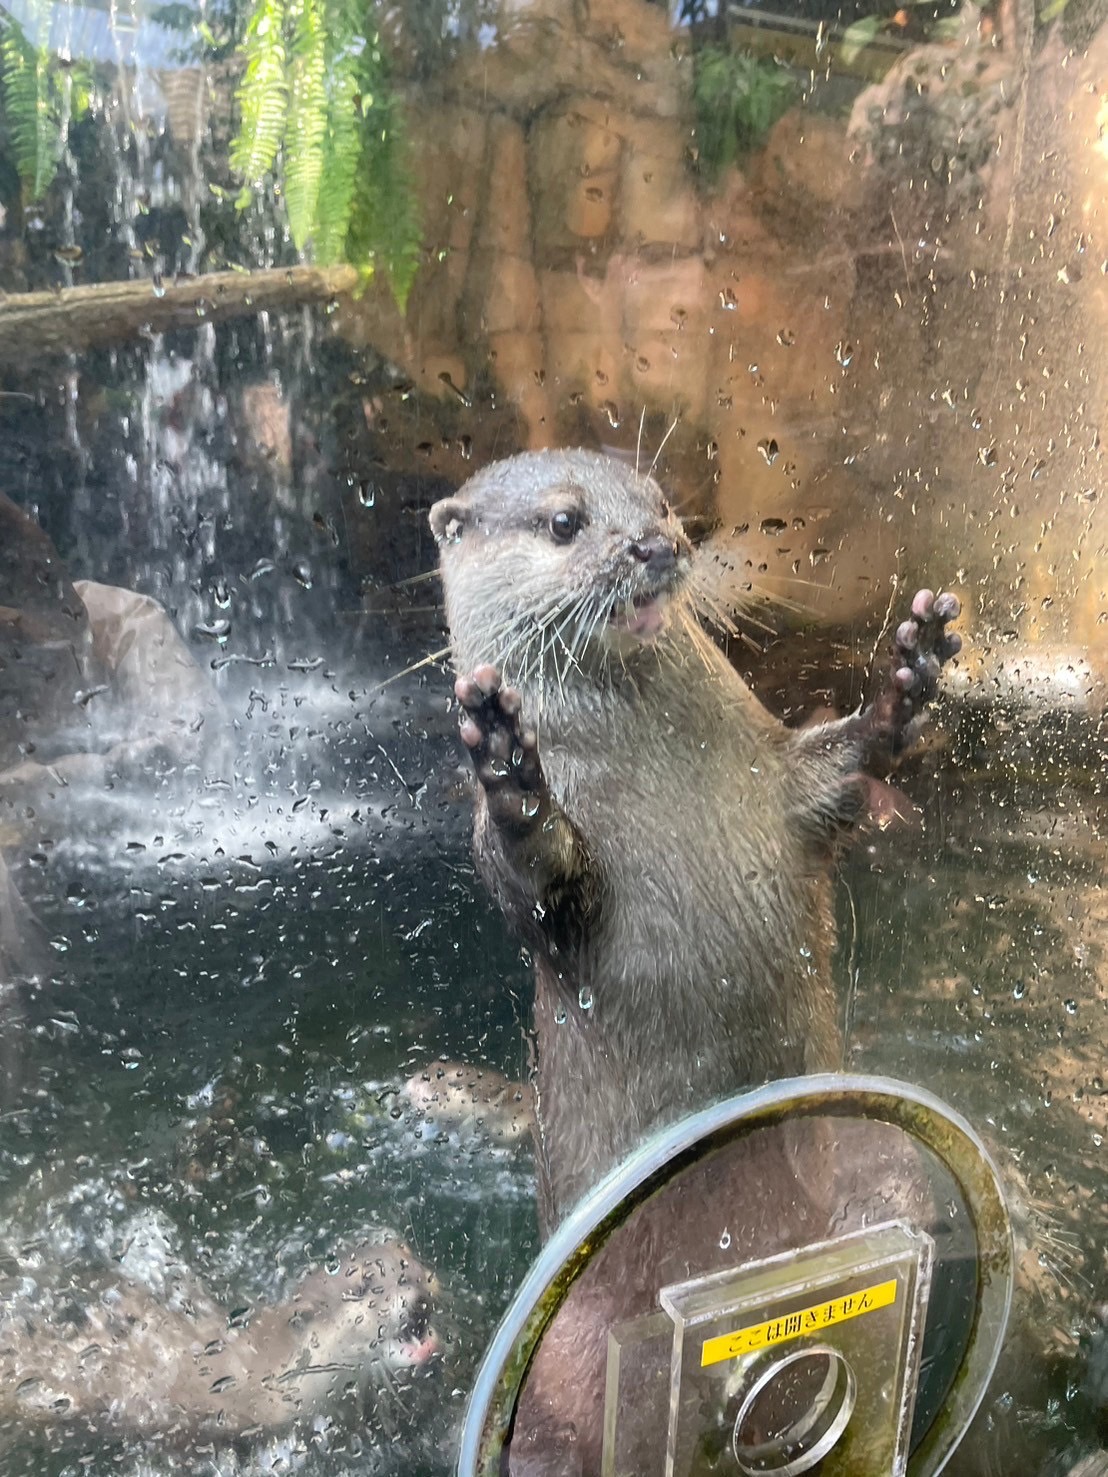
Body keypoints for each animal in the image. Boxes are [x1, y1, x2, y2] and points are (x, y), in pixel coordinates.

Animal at [428, 443, 957, 1228]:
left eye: (661, 504)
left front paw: (909, 675)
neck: (666, 771)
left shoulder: (776, 777)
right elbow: (535, 889)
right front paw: (508, 770)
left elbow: (837, 771)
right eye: (565, 521)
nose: (654, 544)